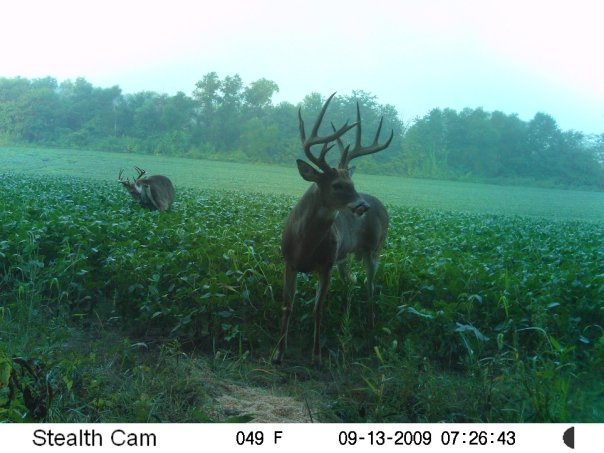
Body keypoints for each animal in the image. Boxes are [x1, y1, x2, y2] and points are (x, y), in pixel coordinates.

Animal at [272, 92, 392, 364]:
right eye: (337, 185)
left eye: (353, 183)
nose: (363, 206)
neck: (304, 244)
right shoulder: (289, 263)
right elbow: (287, 305)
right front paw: (278, 352)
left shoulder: (326, 265)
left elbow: (318, 308)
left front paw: (316, 355)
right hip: (344, 257)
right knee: (351, 283)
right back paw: (345, 319)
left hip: (374, 249)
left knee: (370, 286)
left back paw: (370, 325)